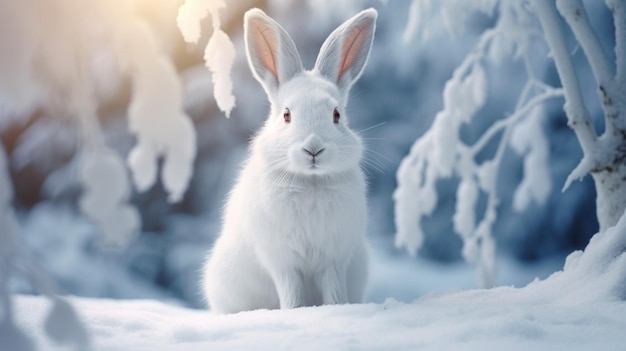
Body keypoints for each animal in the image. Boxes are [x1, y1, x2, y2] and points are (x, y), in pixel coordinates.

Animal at [202, 6, 376, 314]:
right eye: (286, 115)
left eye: (336, 115)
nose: (313, 149)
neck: (310, 181)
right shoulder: (283, 263)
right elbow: (291, 292)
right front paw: (295, 313)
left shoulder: (333, 260)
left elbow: (334, 289)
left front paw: (337, 308)